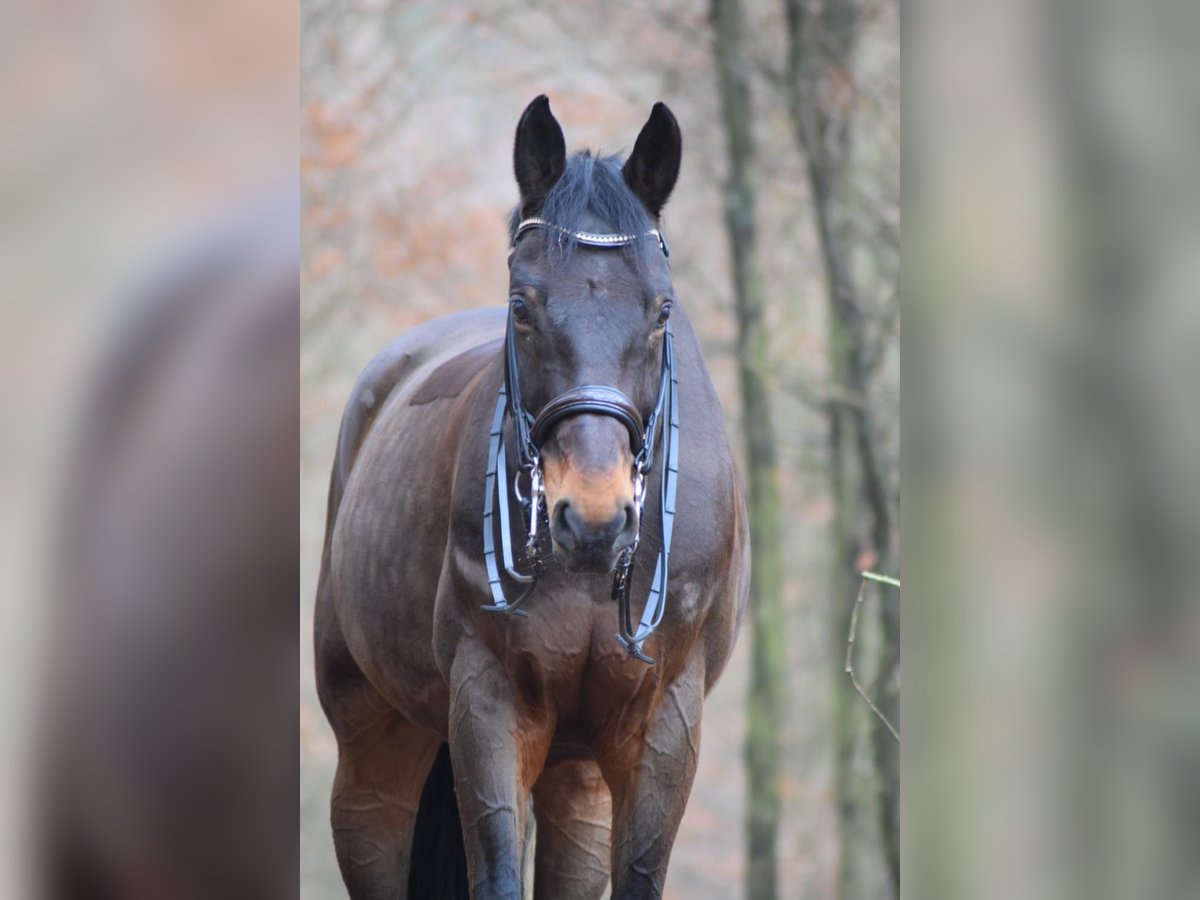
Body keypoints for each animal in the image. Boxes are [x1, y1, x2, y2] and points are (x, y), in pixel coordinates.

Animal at [316, 95, 748, 897]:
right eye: (522, 305)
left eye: (662, 310)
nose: (595, 519)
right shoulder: (489, 704)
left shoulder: (664, 722)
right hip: (373, 744)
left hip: (576, 774)